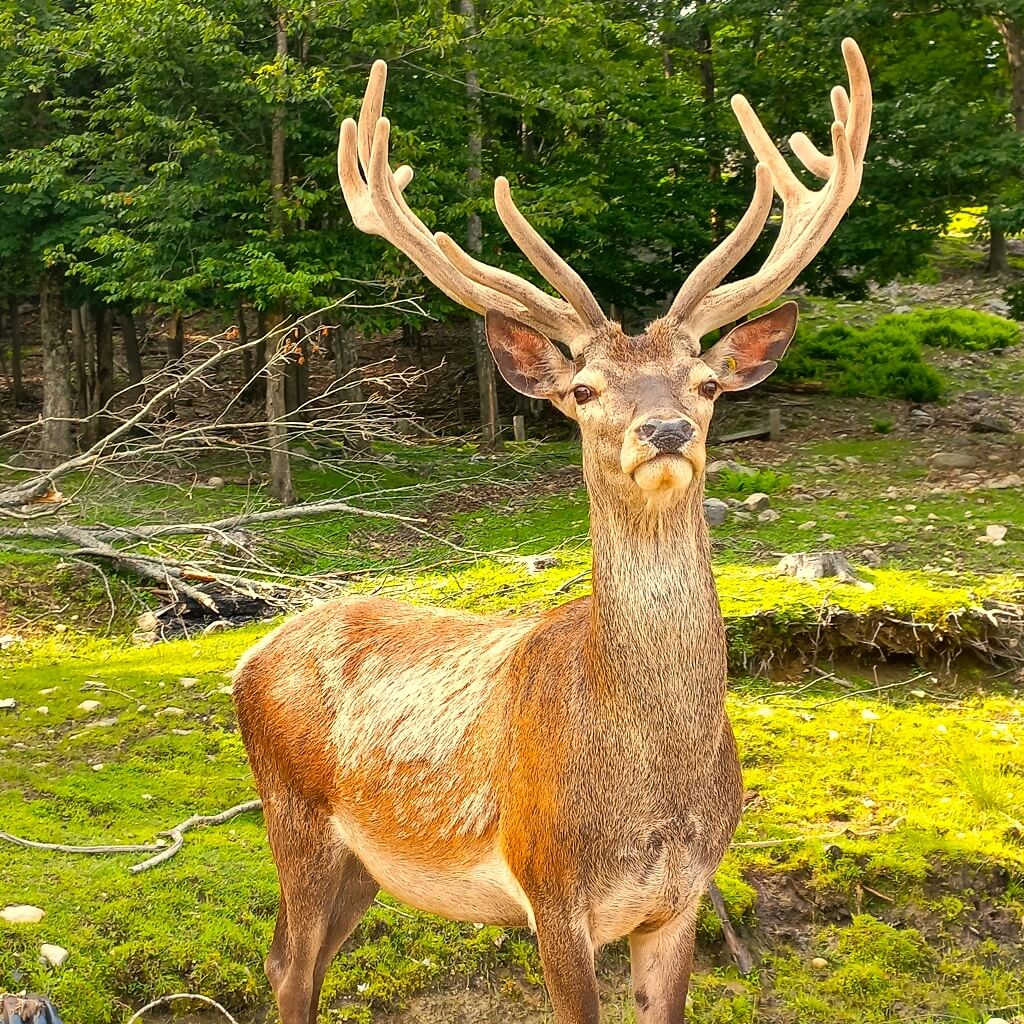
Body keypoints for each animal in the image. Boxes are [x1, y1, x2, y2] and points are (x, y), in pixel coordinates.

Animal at [234, 39, 872, 1024]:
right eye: (582, 389)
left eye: (707, 383)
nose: (665, 432)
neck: (650, 793)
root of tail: (247, 659)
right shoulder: (551, 889)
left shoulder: (681, 899)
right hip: (292, 817)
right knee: (291, 970)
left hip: (363, 867)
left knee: (282, 961)